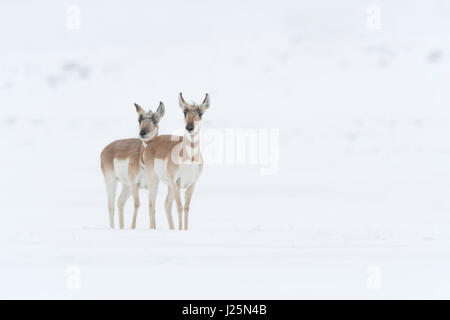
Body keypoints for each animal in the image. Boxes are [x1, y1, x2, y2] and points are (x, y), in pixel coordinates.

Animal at [100, 101, 165, 229]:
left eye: (155, 120)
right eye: (139, 119)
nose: (142, 133)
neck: (143, 160)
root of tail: (106, 148)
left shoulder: (153, 185)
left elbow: (152, 207)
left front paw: (153, 228)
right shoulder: (134, 183)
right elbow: (137, 204)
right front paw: (132, 227)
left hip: (126, 186)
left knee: (120, 201)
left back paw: (121, 227)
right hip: (112, 181)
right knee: (111, 205)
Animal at [143, 92, 210, 230]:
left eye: (200, 113)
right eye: (184, 112)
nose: (189, 127)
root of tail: (152, 141)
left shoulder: (191, 184)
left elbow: (186, 208)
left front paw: (184, 229)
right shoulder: (176, 182)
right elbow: (179, 207)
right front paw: (180, 230)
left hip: (169, 186)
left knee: (166, 204)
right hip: (154, 181)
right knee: (152, 204)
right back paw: (153, 228)